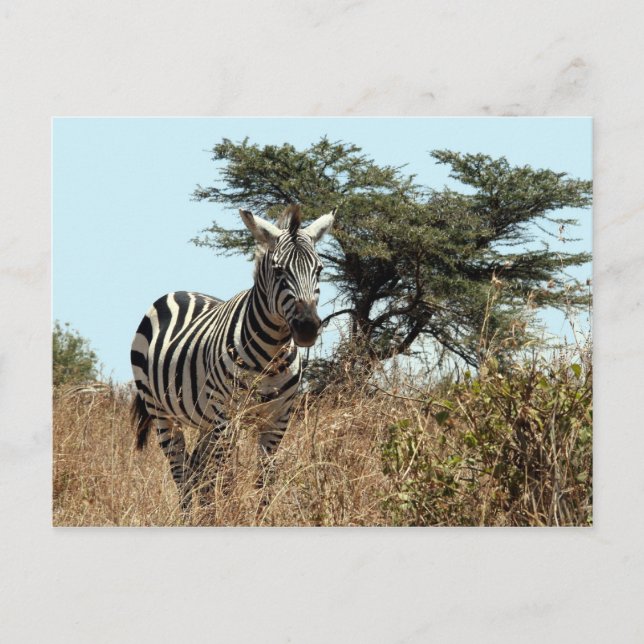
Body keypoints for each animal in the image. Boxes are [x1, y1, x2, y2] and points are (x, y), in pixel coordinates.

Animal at [130, 204, 335, 508]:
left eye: (319, 269)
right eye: (278, 271)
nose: (308, 326)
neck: (271, 357)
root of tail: (178, 292)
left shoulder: (278, 420)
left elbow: (264, 482)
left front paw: (259, 515)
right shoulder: (228, 418)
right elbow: (226, 481)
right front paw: (228, 513)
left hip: (205, 419)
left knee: (196, 470)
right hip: (161, 411)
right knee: (181, 472)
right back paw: (189, 513)